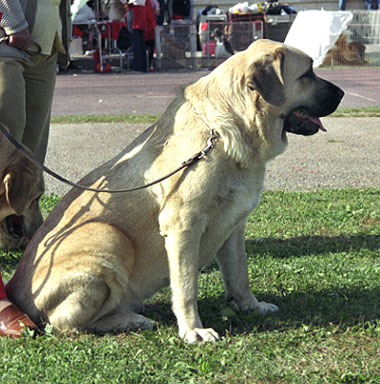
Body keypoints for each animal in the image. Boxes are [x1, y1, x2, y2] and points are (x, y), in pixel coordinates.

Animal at [6, 40, 344, 344]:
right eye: (307, 73)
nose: (341, 93)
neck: (224, 133)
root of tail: (15, 290)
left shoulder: (234, 226)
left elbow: (239, 274)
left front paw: (251, 306)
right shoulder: (183, 224)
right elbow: (186, 286)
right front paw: (193, 330)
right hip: (109, 236)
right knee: (64, 324)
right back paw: (130, 320)